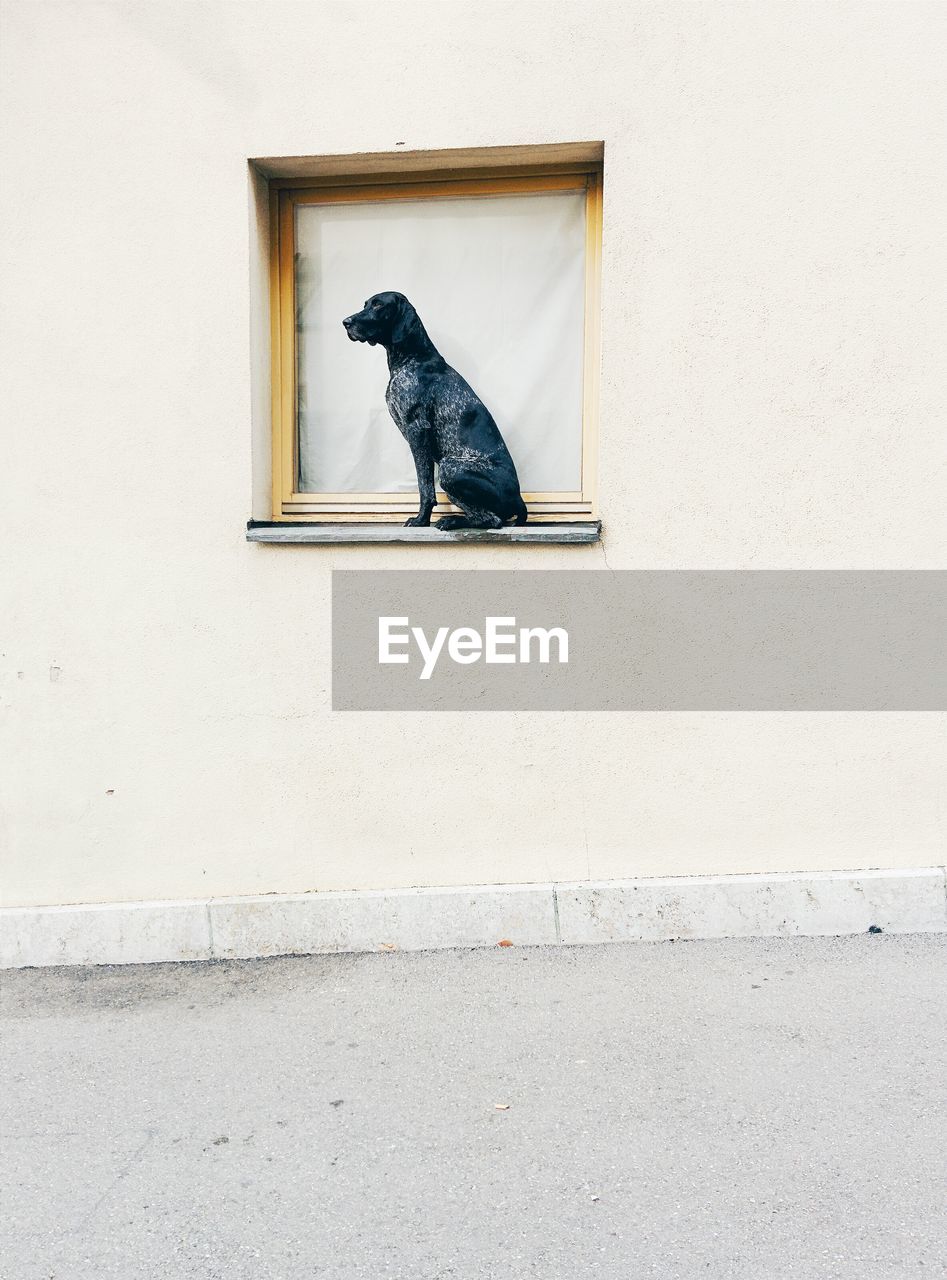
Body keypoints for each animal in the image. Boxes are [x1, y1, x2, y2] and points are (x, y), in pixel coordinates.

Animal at [342, 293, 529, 527]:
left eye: (378, 305)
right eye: (366, 304)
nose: (346, 322)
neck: (412, 357)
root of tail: (519, 499)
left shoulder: (417, 430)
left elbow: (425, 487)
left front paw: (421, 519)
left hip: (450, 468)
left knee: (493, 520)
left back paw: (452, 521)